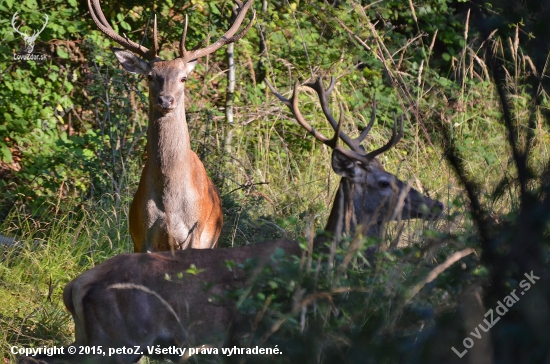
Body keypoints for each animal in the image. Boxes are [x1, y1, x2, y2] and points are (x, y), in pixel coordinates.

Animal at [88, 0, 256, 250]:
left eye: (183, 78)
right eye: (150, 76)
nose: (165, 100)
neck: (169, 202)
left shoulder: (194, 232)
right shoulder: (144, 235)